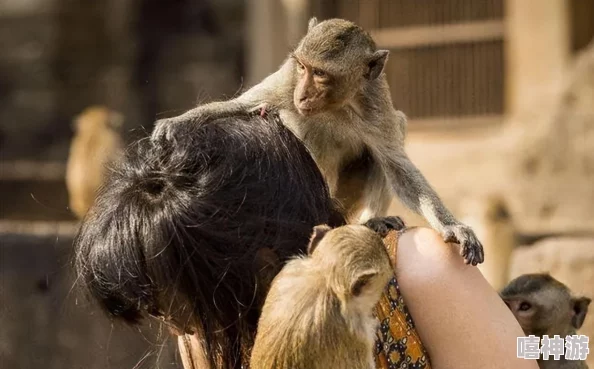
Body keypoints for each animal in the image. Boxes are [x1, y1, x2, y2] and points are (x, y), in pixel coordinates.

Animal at [150, 17, 484, 264]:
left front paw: (452, 226)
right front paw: (178, 124)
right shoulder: (288, 79)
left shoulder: (374, 103)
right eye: (303, 67)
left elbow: (396, 167)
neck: (336, 105)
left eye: (321, 74)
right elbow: (241, 105)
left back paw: (370, 221)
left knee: (393, 134)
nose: (302, 95)